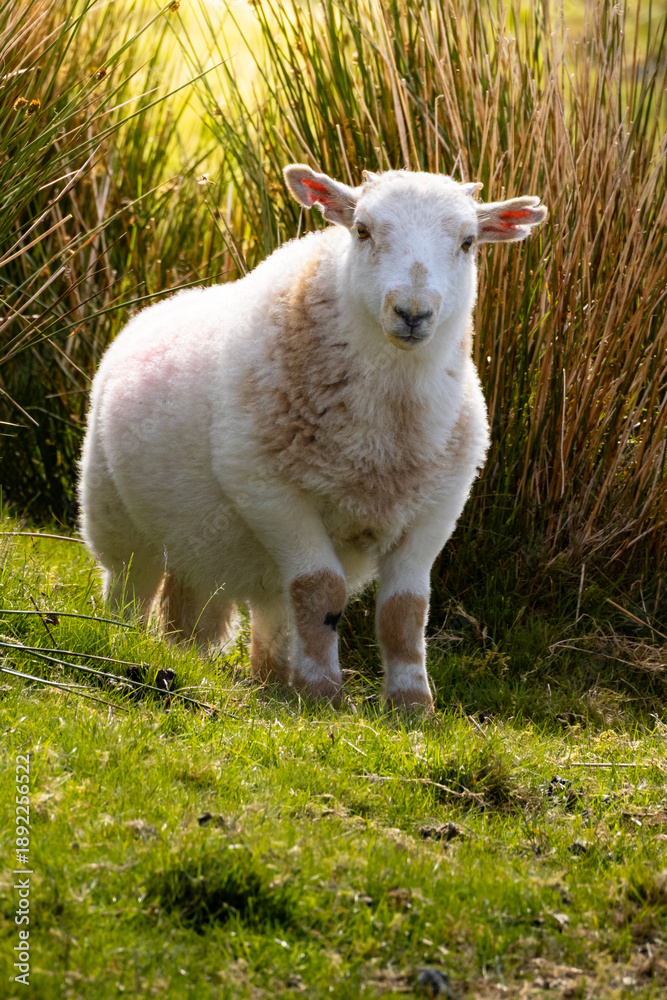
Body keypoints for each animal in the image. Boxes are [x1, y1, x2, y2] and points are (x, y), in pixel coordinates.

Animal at [78, 164, 546, 711]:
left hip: (210, 545)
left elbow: (404, 611)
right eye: (362, 230)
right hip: (115, 515)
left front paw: (412, 705)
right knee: (131, 584)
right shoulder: (270, 492)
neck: (384, 438)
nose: (412, 312)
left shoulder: (436, 511)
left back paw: (269, 678)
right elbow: (321, 589)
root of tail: (171, 299)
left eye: (469, 242)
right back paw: (120, 639)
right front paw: (324, 693)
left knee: (259, 609)